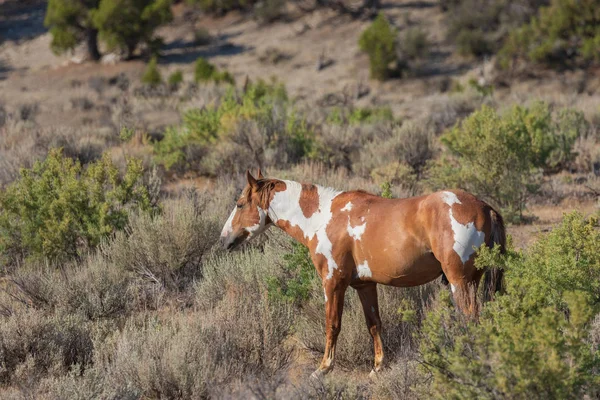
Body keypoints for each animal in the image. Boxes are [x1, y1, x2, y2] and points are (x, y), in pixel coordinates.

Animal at [220, 169, 506, 378]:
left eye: (240, 204)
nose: (224, 239)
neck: (323, 217)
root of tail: (484, 206)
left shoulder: (333, 282)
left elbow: (332, 324)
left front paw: (323, 368)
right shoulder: (364, 286)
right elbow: (374, 324)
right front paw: (377, 367)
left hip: (460, 282)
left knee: (469, 319)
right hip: (472, 281)